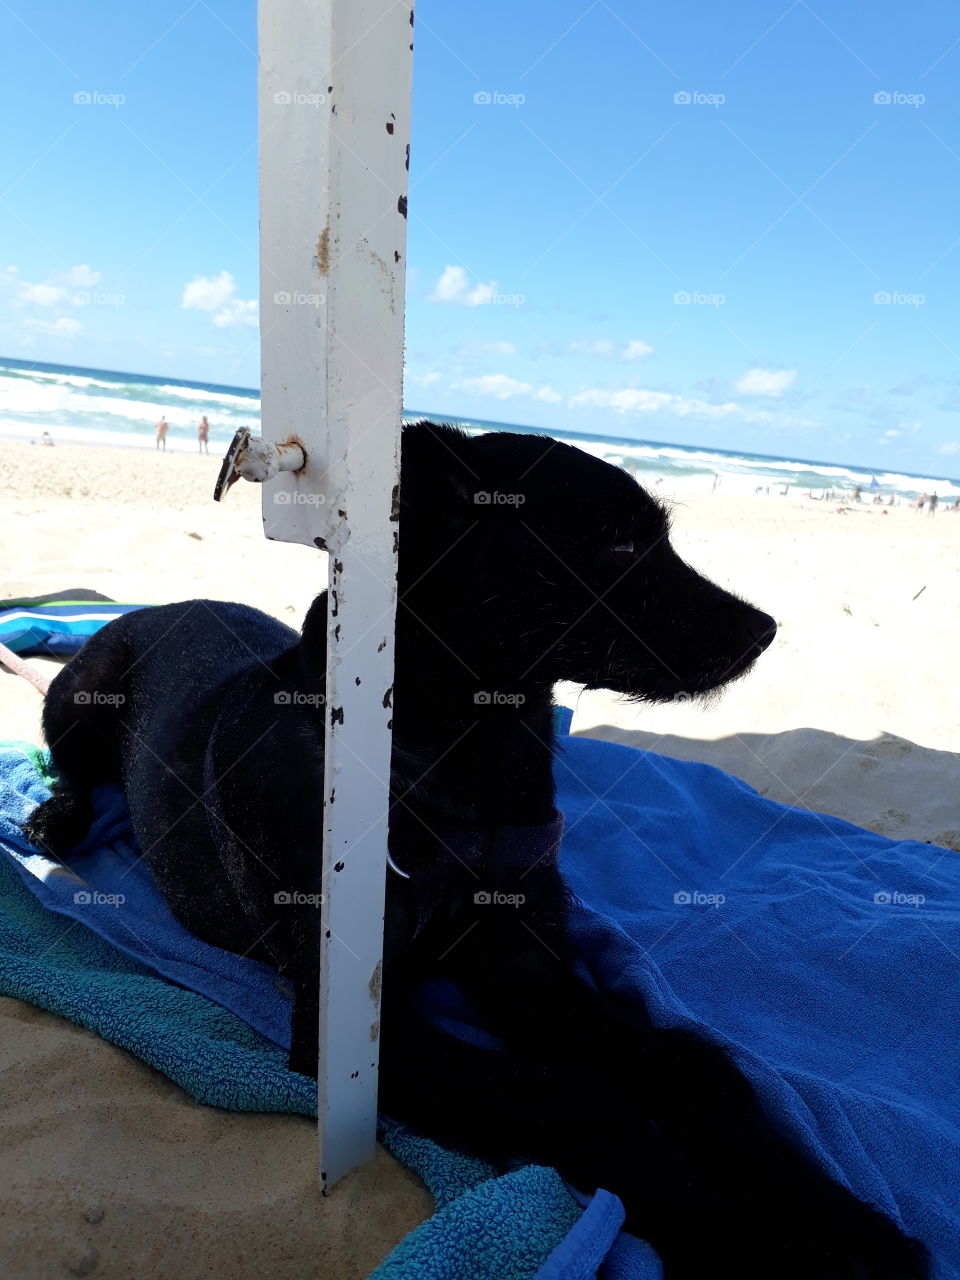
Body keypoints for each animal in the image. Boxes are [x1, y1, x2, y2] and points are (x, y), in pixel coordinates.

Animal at [22, 424, 926, 1274]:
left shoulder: (524, 967)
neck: (462, 757)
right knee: (68, 764)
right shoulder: (357, 1033)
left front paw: (837, 1216)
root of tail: (162, 605)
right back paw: (54, 822)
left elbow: (685, 1060)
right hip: (82, 694)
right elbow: (570, 1100)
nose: (765, 631)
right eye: (620, 542)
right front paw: (738, 1234)